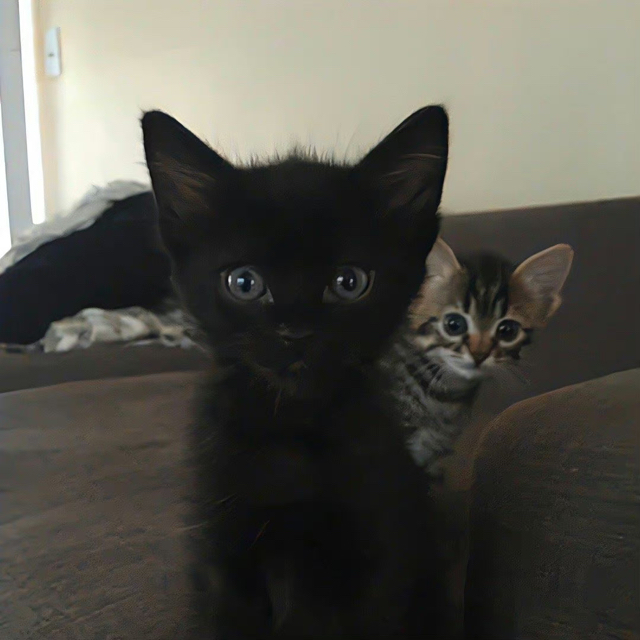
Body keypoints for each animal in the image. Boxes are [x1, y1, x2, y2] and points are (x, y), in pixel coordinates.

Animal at [142, 106, 460, 639]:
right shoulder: (221, 553)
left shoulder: (384, 547)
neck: (288, 425)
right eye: (244, 282)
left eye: (349, 282)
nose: (296, 332)